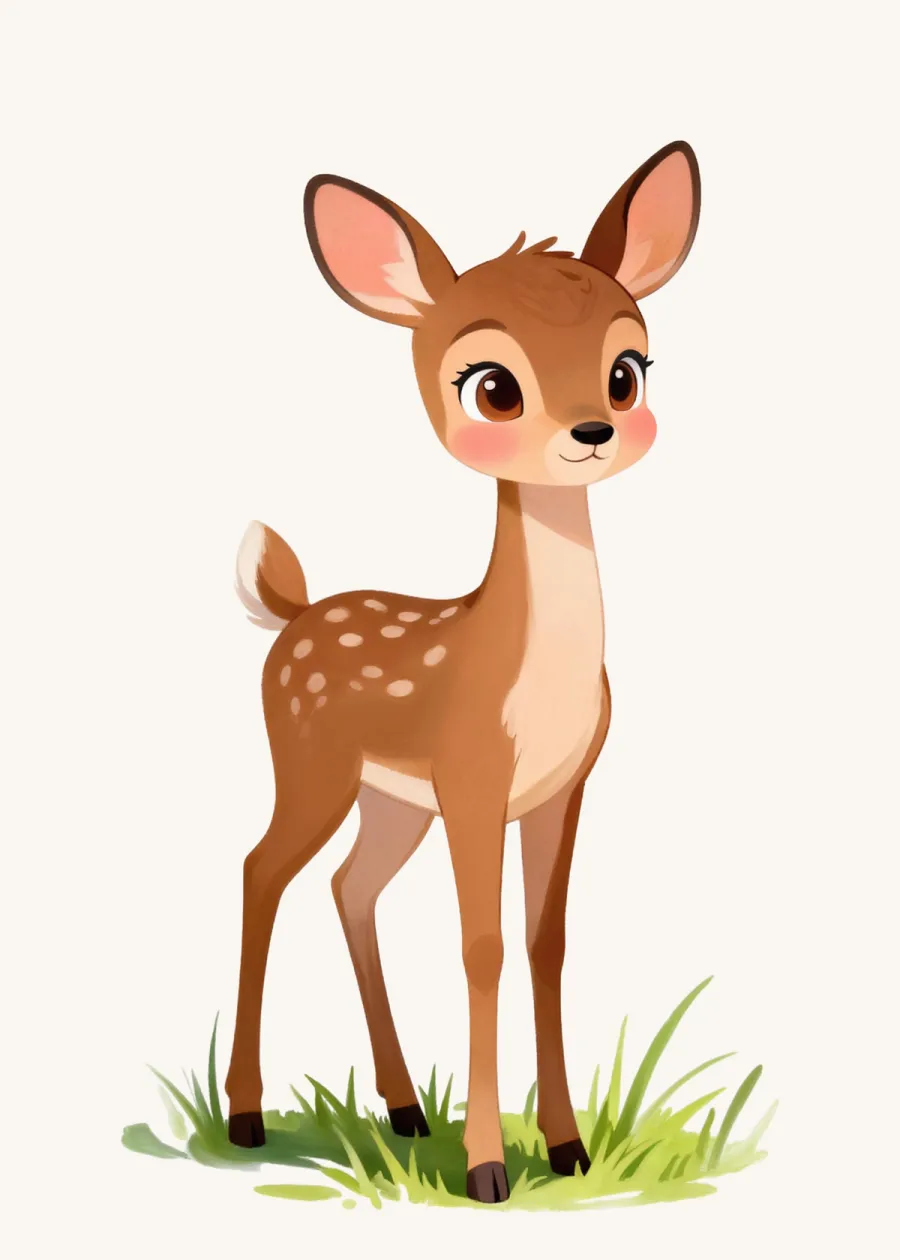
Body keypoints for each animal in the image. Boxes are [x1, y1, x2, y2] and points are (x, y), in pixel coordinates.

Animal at [224, 141, 701, 1202]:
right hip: (311, 763)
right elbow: (480, 948)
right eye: (492, 387)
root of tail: (294, 612)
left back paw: (404, 1111)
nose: (594, 431)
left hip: (391, 800)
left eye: (627, 371)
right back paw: (244, 1115)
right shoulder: (476, 777)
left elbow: (543, 945)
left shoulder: (561, 787)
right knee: (261, 869)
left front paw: (567, 1150)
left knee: (349, 888)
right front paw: (486, 1169)